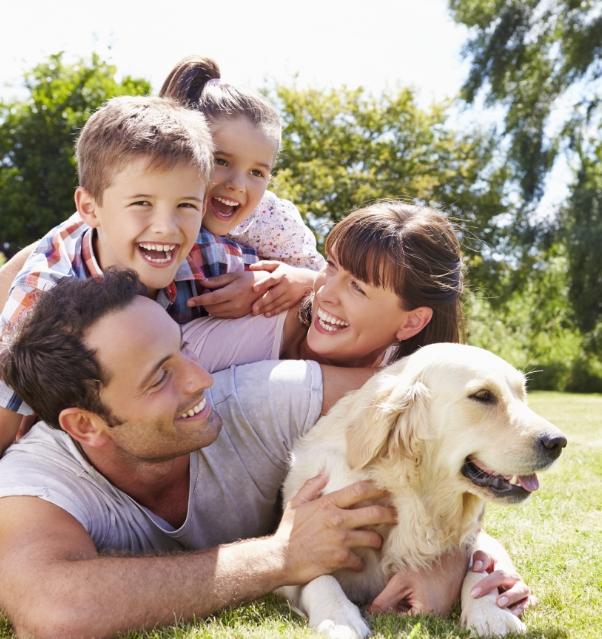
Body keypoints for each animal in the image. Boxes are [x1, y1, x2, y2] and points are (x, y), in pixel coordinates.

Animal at [278, 344, 564, 639]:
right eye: (483, 396)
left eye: (522, 394)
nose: (557, 442)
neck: (413, 498)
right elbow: (318, 576)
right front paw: (339, 617)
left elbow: (479, 564)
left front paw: (491, 613)